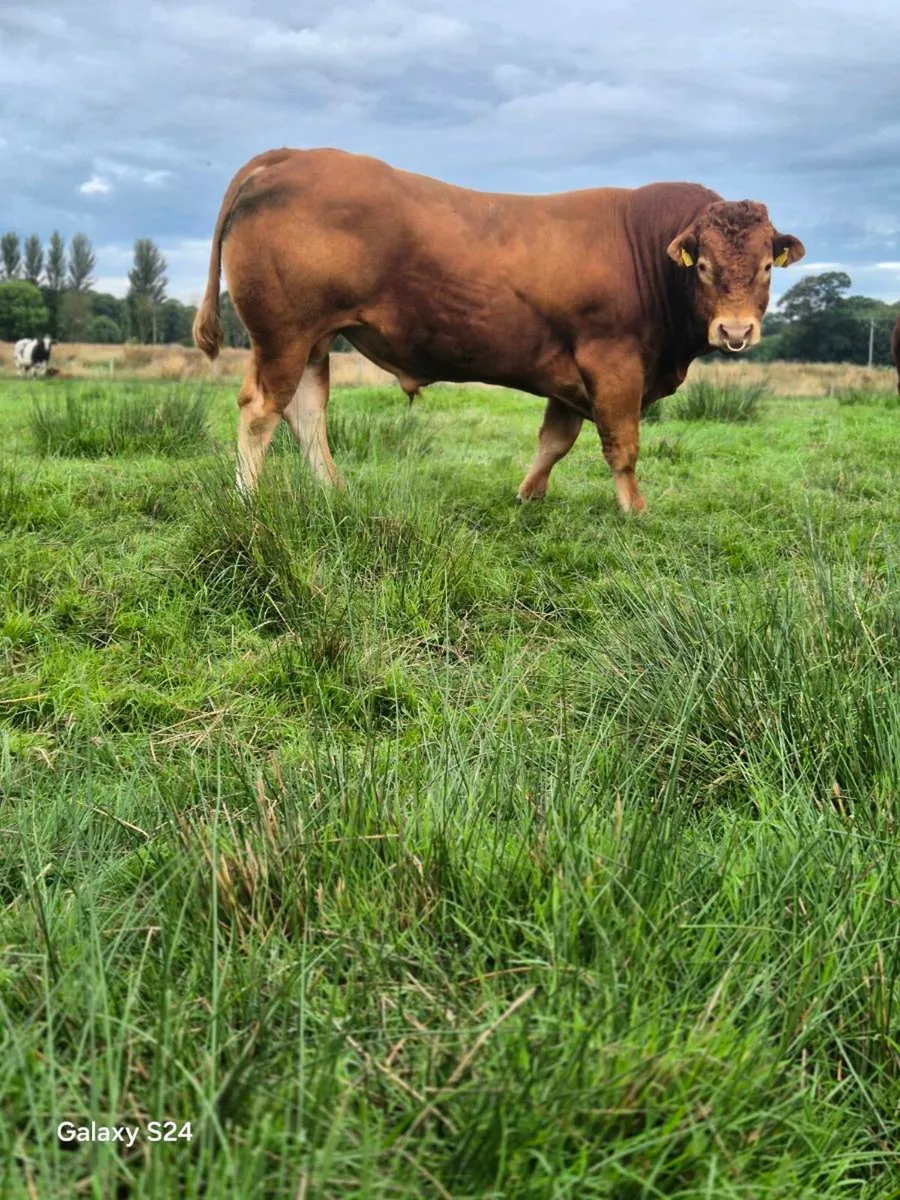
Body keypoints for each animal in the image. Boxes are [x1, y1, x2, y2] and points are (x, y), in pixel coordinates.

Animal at [193, 148, 805, 512]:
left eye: (766, 266)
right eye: (702, 266)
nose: (735, 330)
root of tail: (293, 156)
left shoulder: (570, 372)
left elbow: (556, 440)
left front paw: (528, 496)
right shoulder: (612, 362)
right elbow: (622, 445)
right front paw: (635, 511)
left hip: (314, 339)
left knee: (305, 413)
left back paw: (335, 491)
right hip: (284, 333)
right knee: (260, 411)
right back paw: (248, 501)